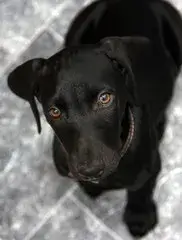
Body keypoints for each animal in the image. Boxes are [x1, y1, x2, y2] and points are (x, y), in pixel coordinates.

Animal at [7, 0, 182, 237]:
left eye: (105, 98)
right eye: (54, 111)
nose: (90, 170)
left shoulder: (150, 167)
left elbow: (140, 191)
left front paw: (139, 217)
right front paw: (90, 186)